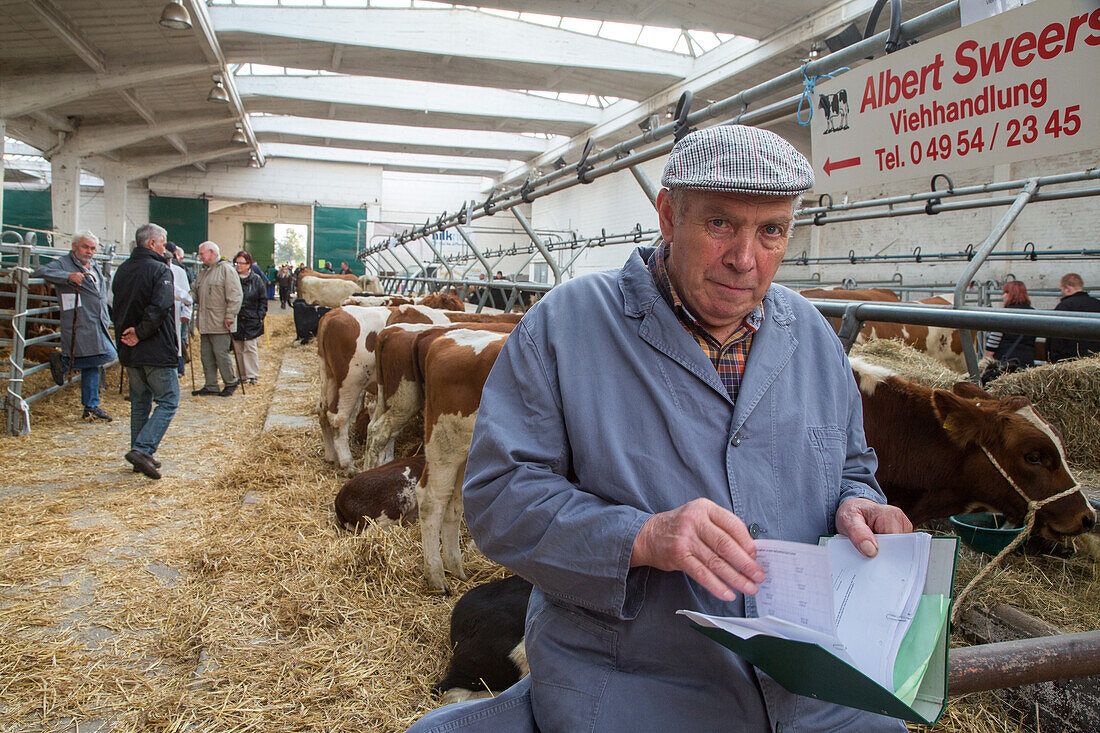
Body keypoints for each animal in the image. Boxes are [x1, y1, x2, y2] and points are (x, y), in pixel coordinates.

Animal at [415, 327, 510, 589]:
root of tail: (446, 339)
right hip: (444, 444)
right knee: (431, 501)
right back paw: (437, 577)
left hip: (467, 455)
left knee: (454, 504)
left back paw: (456, 570)